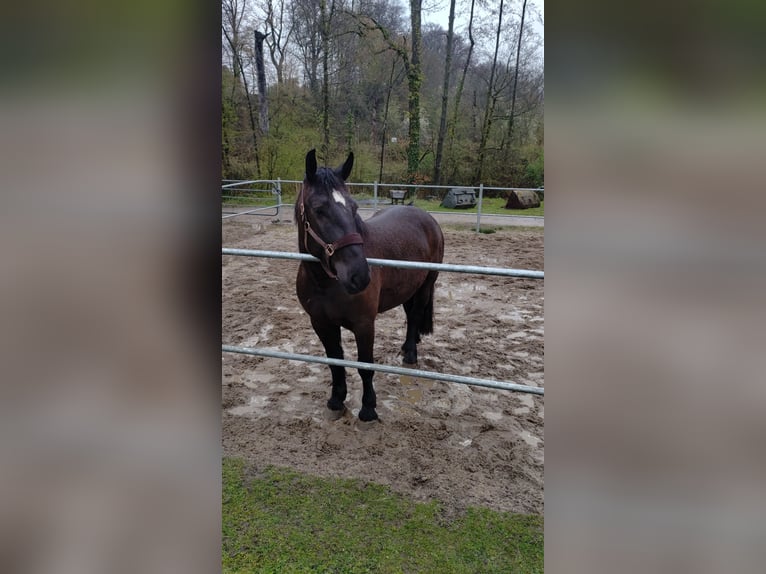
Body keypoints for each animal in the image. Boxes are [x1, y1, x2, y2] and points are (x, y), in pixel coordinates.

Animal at [295, 149, 445, 422]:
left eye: (354, 207)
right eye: (319, 209)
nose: (360, 276)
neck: (326, 284)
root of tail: (425, 216)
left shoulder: (364, 325)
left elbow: (365, 367)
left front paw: (368, 409)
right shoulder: (321, 323)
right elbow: (335, 363)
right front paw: (336, 400)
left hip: (427, 284)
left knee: (416, 315)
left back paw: (410, 354)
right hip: (408, 288)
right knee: (410, 315)